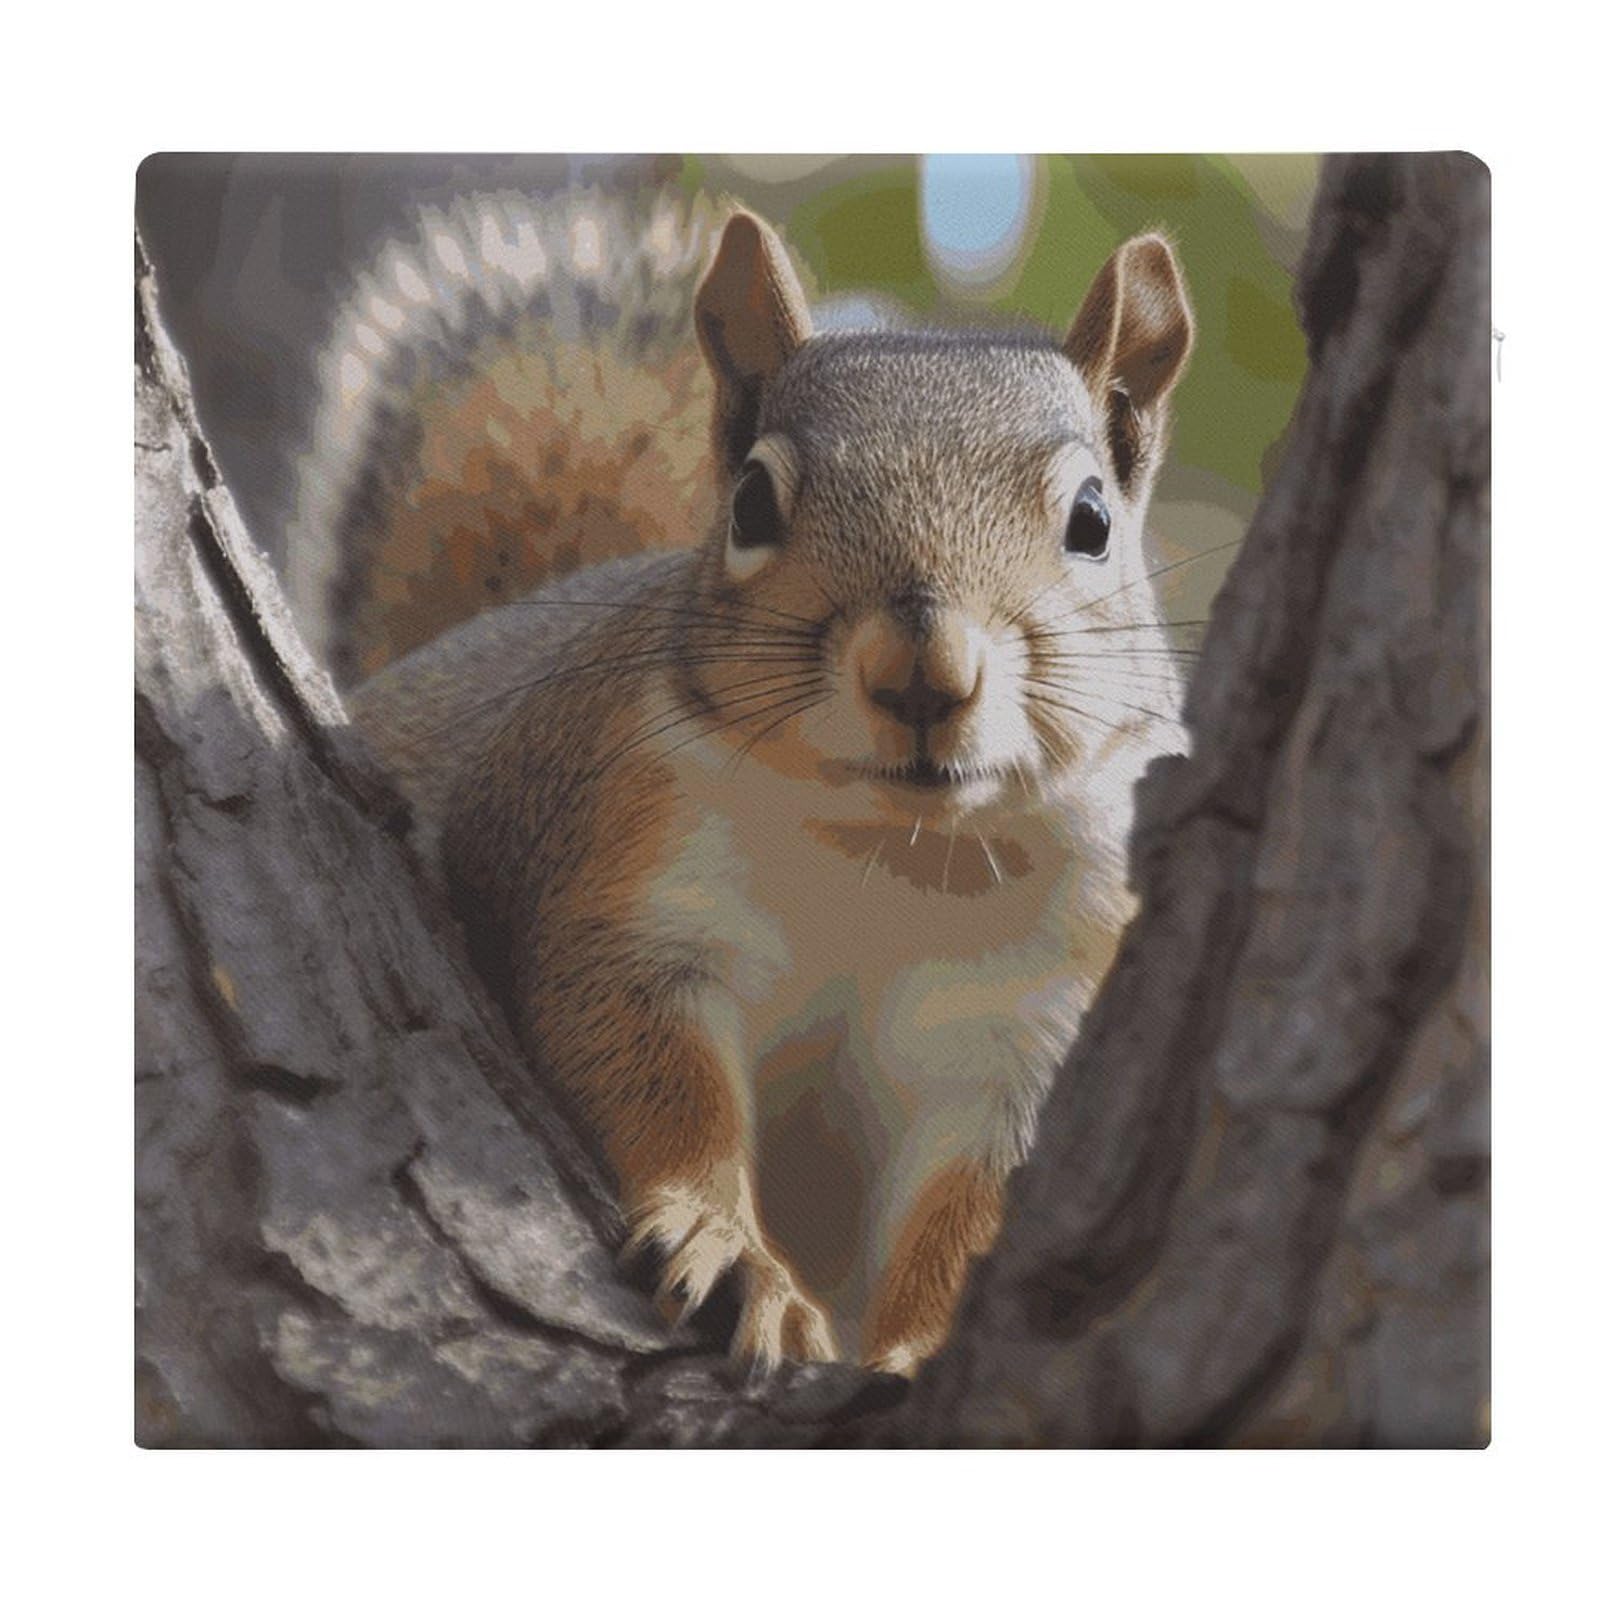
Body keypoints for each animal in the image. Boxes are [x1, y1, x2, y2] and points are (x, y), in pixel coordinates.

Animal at [294, 185, 1195, 1376]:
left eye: (1092, 522)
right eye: (753, 502)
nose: (921, 670)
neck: (892, 854)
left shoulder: (1035, 1013)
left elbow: (979, 1203)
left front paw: (921, 1350)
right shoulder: (631, 881)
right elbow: (648, 1068)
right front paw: (729, 1253)